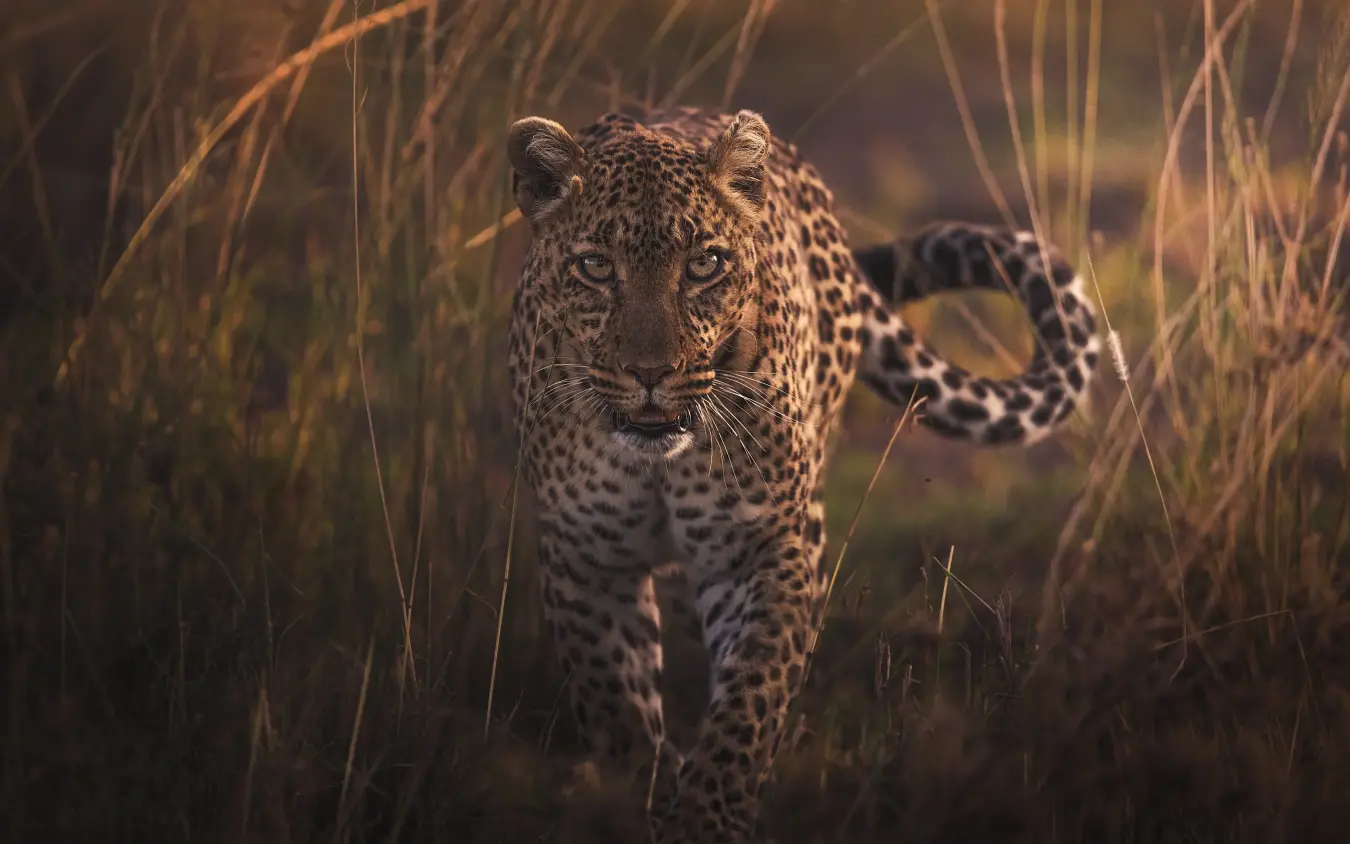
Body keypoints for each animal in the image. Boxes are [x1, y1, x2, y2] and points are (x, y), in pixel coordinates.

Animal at [503, 106, 1102, 843]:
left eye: (704, 265)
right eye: (593, 267)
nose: (651, 374)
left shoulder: (766, 546)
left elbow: (750, 699)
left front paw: (707, 815)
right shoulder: (586, 559)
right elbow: (619, 713)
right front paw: (645, 795)